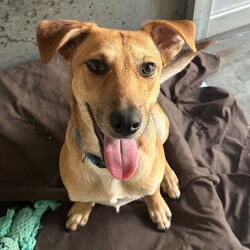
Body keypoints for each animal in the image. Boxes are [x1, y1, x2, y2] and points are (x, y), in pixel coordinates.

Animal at [35, 18, 207, 231]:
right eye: (96, 65)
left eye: (148, 68)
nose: (127, 123)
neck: (109, 170)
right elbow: (85, 198)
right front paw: (81, 208)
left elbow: (152, 192)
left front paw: (158, 207)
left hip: (160, 123)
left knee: (162, 148)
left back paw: (168, 177)